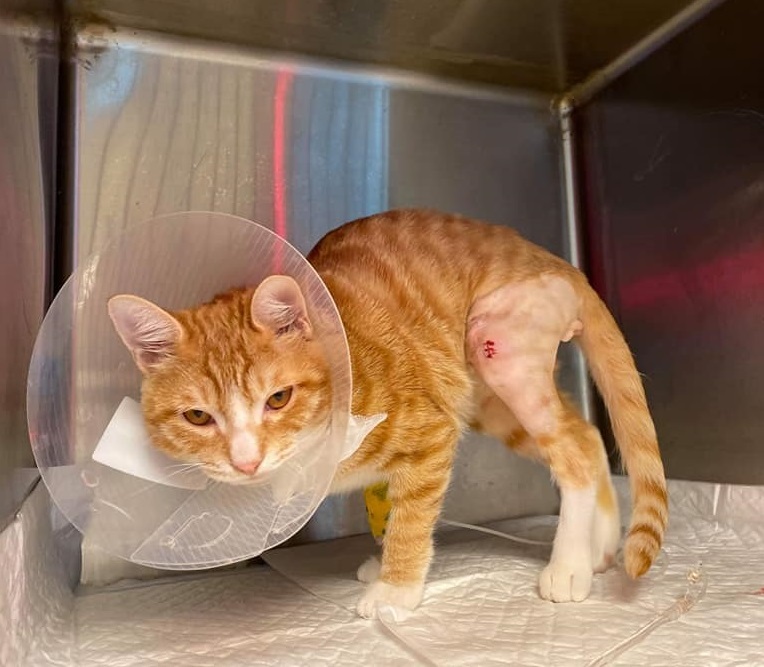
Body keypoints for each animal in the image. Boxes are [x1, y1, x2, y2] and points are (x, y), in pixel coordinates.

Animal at [108, 209, 668, 619]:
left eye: (278, 399)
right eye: (198, 418)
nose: (246, 462)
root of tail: (551, 257)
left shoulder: (432, 434)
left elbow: (411, 520)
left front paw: (395, 589)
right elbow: (392, 509)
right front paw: (382, 569)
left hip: (502, 351)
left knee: (573, 452)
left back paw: (570, 564)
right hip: (485, 400)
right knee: (588, 435)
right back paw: (601, 544)